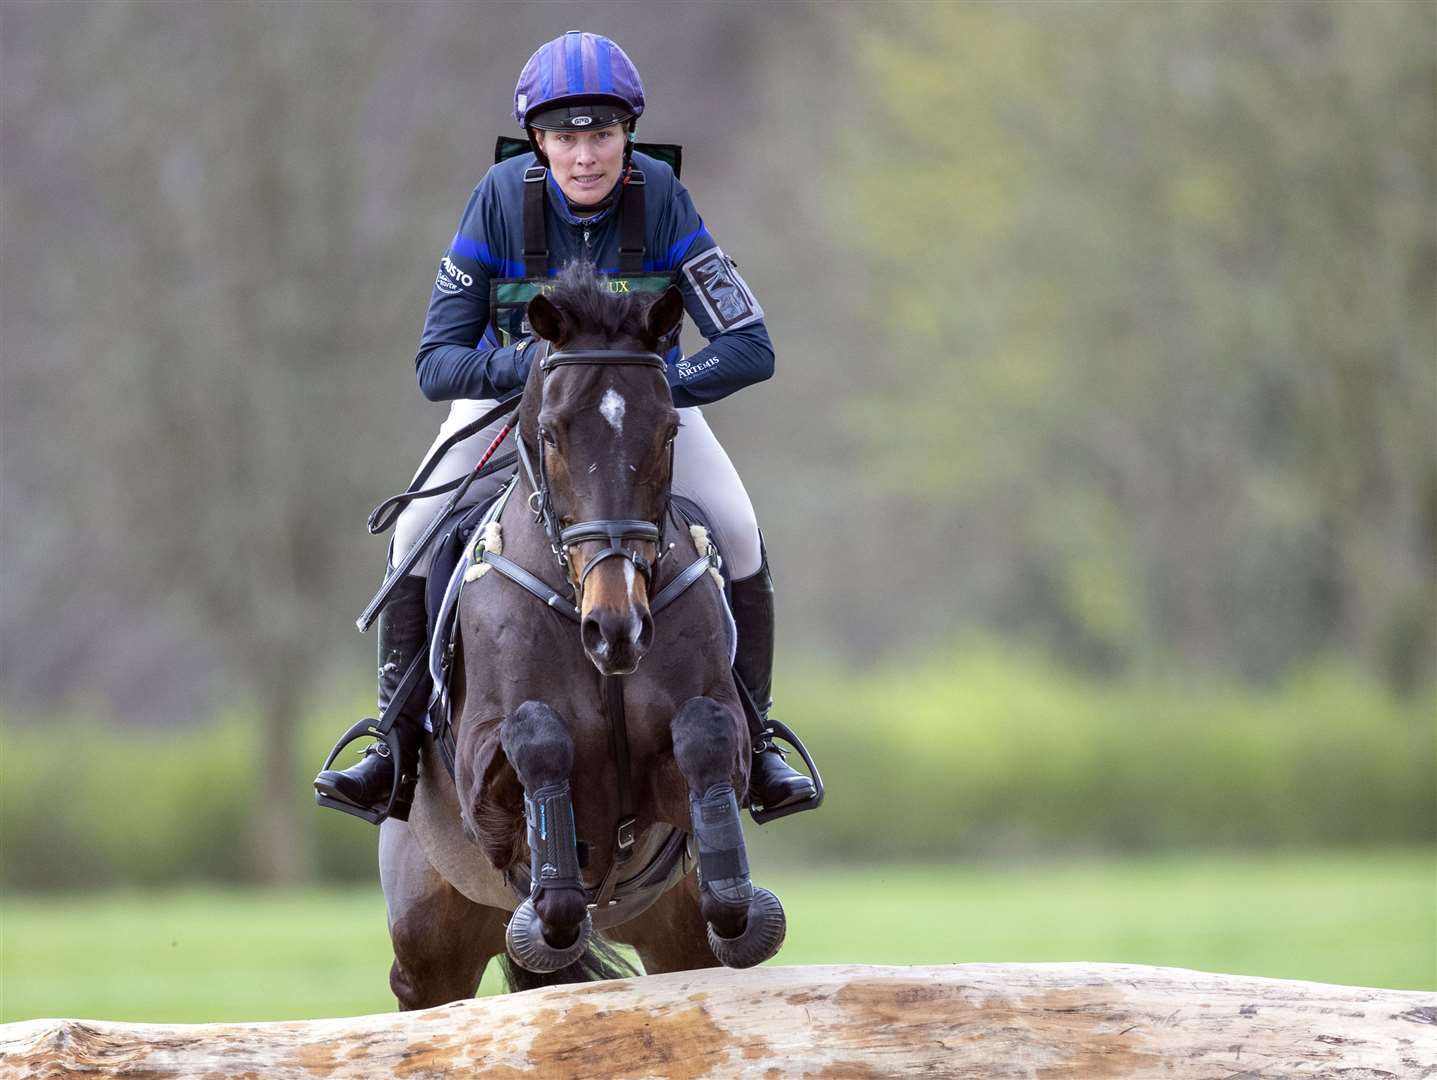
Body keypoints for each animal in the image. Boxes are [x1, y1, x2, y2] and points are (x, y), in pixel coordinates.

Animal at [379, 261, 787, 1005]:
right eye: (550, 434)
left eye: (668, 434)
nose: (616, 628)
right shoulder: (481, 774)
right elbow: (538, 735)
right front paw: (552, 905)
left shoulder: (692, 771)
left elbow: (706, 737)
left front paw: (739, 907)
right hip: (429, 944)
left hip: (669, 931)